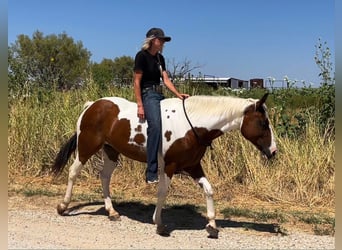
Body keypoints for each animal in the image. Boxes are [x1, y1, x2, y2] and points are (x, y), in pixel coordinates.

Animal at [52, 92, 276, 238]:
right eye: (263, 123)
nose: (273, 151)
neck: (192, 126)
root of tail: (92, 105)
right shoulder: (169, 166)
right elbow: (162, 192)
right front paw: (159, 224)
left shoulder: (193, 166)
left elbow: (209, 190)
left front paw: (212, 225)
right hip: (86, 147)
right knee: (73, 172)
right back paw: (63, 206)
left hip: (111, 152)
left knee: (105, 177)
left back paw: (112, 212)